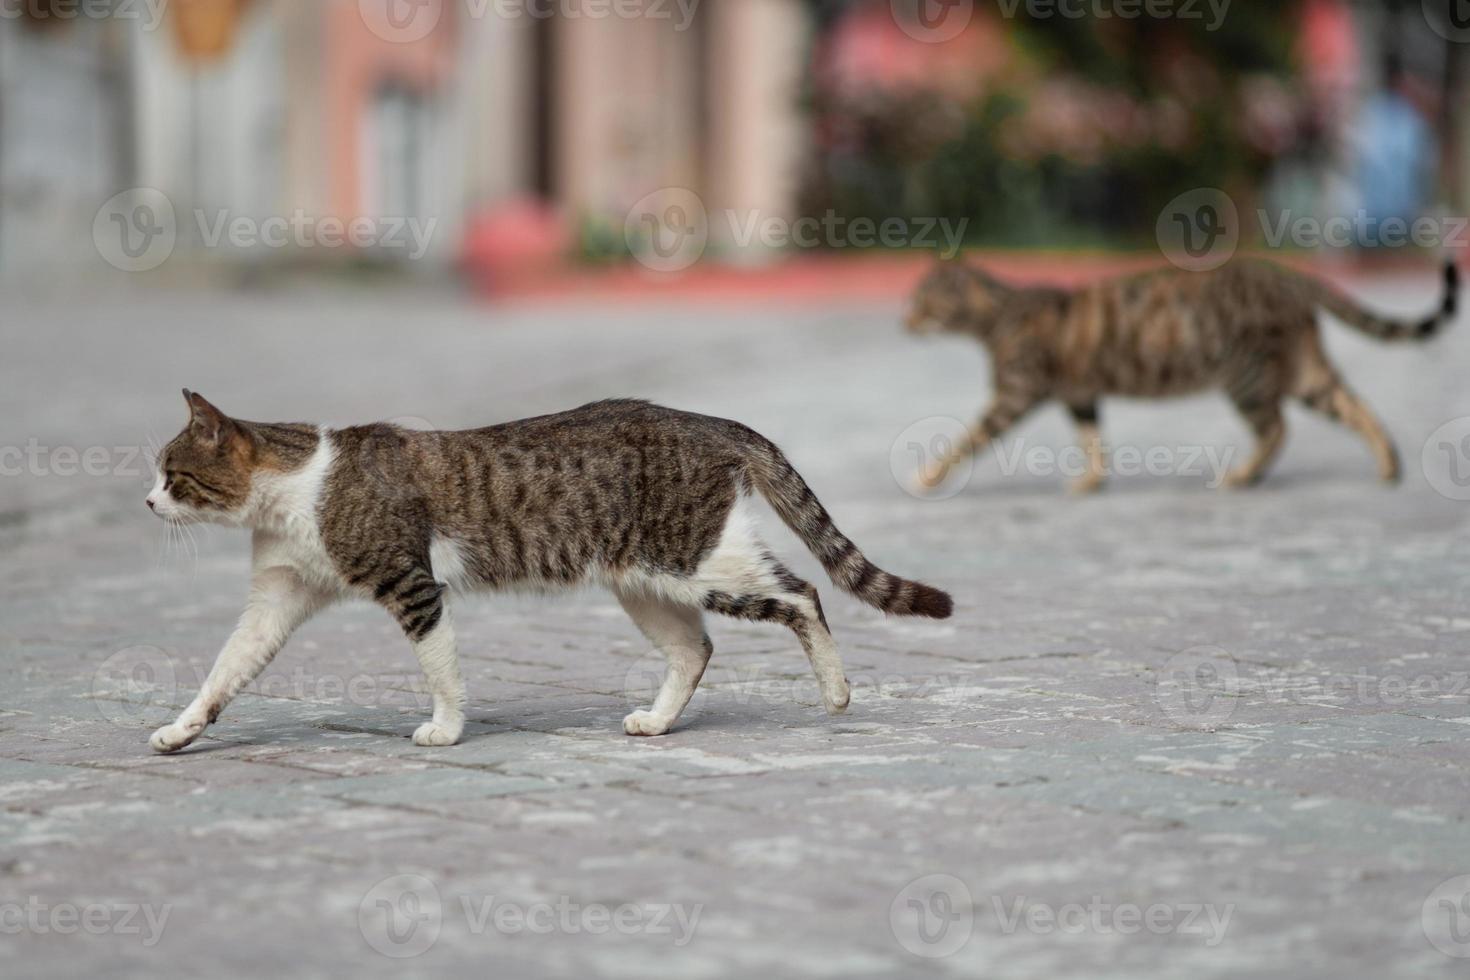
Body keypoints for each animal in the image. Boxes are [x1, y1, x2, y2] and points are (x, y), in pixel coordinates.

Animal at [146, 390, 952, 752]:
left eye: (173, 475)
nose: (147, 502)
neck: (296, 491)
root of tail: (705, 420)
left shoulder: (413, 585)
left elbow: (440, 669)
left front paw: (445, 729)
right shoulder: (278, 598)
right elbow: (225, 669)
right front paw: (182, 730)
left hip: (698, 561)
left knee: (803, 595)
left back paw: (838, 692)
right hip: (643, 581)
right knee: (695, 648)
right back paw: (657, 721)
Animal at [905, 258, 1458, 493]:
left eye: (923, 303)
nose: (904, 322)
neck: (999, 315)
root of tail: (1287, 274)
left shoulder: (1016, 394)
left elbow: (966, 439)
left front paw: (929, 476)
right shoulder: (1079, 395)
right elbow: (1093, 440)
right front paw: (1092, 480)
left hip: (1245, 376)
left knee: (1277, 428)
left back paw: (1242, 476)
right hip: (1305, 374)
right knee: (1354, 406)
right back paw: (1388, 466)